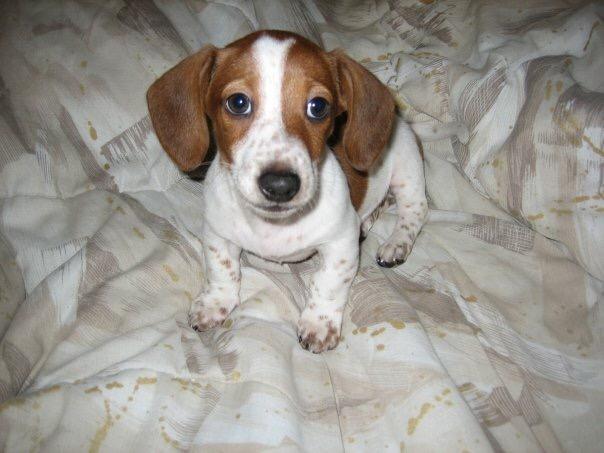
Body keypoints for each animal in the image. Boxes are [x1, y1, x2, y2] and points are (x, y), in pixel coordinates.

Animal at [147, 30, 427, 353]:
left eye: (318, 106)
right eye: (237, 102)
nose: (281, 186)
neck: (274, 225)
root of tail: (399, 119)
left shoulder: (341, 243)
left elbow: (329, 282)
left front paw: (319, 323)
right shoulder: (217, 233)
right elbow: (221, 269)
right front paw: (215, 303)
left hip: (407, 170)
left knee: (414, 212)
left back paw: (396, 244)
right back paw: (367, 223)